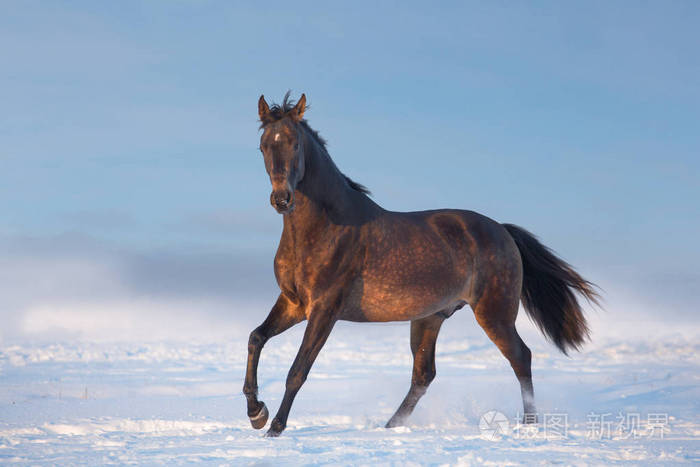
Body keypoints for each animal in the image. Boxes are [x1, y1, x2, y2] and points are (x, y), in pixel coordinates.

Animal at [243, 93, 599, 437]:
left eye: (295, 143)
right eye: (263, 146)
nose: (282, 199)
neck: (325, 227)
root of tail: (502, 230)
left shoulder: (324, 310)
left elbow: (298, 370)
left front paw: (275, 427)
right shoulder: (294, 303)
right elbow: (256, 338)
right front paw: (256, 413)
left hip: (494, 313)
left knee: (521, 357)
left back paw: (530, 425)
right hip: (430, 317)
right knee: (424, 375)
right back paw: (391, 427)